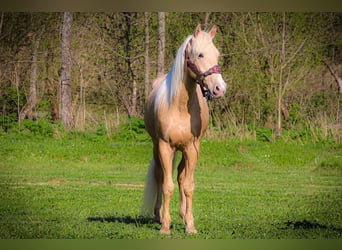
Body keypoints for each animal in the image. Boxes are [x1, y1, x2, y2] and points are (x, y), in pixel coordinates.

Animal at [142, 24, 226, 233]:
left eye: (217, 54)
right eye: (200, 54)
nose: (220, 88)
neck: (179, 106)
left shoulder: (192, 148)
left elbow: (188, 185)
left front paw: (190, 224)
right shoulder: (165, 147)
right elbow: (167, 185)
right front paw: (165, 225)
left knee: (180, 175)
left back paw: (181, 215)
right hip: (157, 147)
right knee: (160, 176)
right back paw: (159, 214)